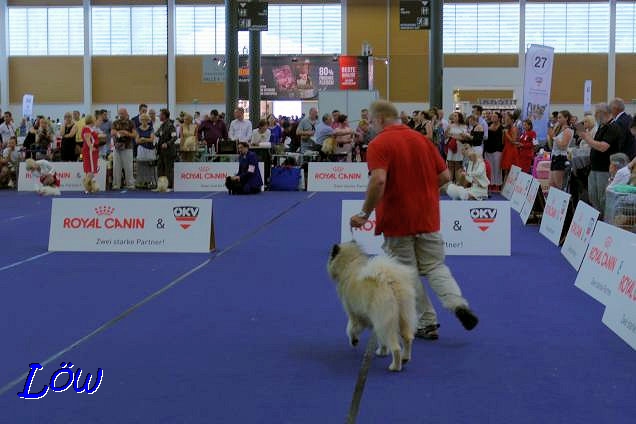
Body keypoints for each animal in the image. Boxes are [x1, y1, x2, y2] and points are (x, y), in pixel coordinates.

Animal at [328, 242, 418, 372]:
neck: (350, 263)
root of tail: (389, 282)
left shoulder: (355, 315)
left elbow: (351, 329)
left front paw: (354, 341)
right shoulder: (375, 320)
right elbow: (380, 340)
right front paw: (382, 351)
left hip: (387, 323)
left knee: (396, 347)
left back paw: (395, 367)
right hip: (404, 317)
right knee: (407, 339)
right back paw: (405, 358)